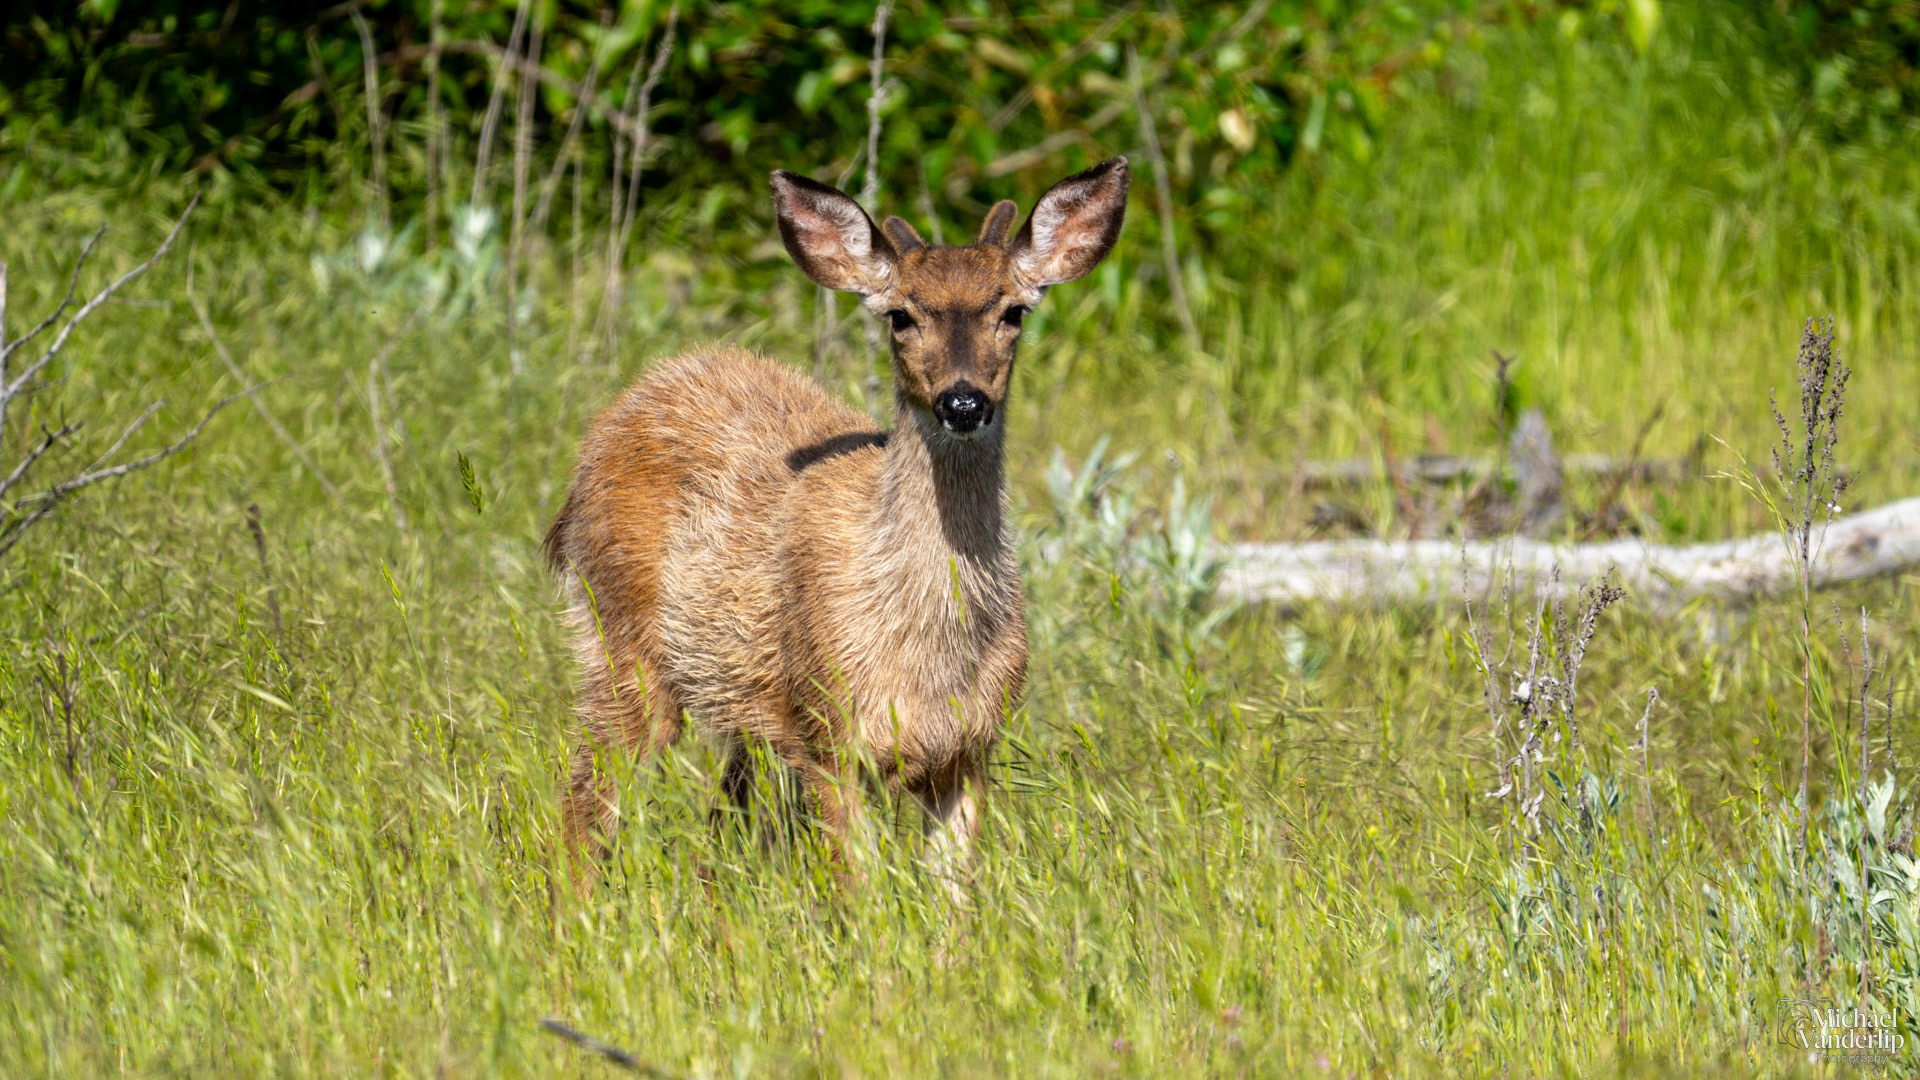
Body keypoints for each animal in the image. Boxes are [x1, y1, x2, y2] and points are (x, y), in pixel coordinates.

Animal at [545, 157, 1129, 888]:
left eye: (1013, 311)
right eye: (901, 315)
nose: (963, 402)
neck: (926, 655)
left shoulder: (970, 749)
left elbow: (953, 897)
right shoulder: (830, 734)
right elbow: (859, 891)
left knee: (719, 821)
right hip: (619, 637)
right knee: (584, 804)